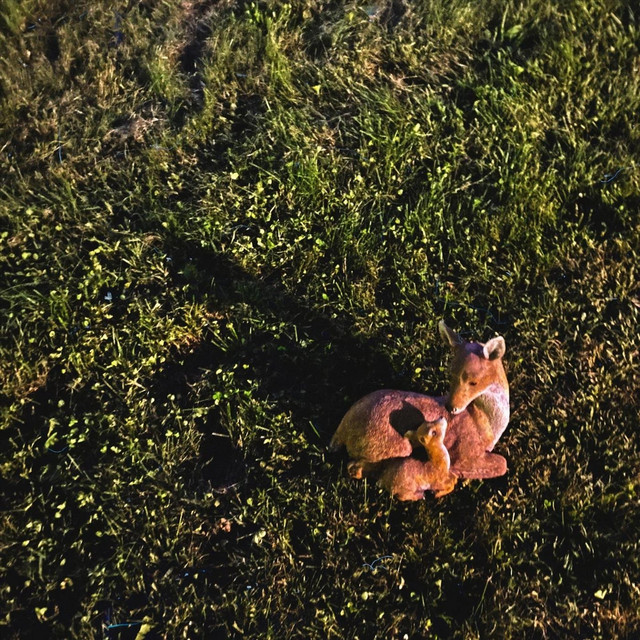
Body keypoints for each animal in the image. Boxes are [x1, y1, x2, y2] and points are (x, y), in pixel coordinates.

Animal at [329, 320, 509, 480]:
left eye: (473, 382)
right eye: (450, 375)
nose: (450, 407)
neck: (486, 424)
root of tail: (341, 429)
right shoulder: (465, 452)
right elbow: (502, 463)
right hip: (393, 445)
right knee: (355, 468)